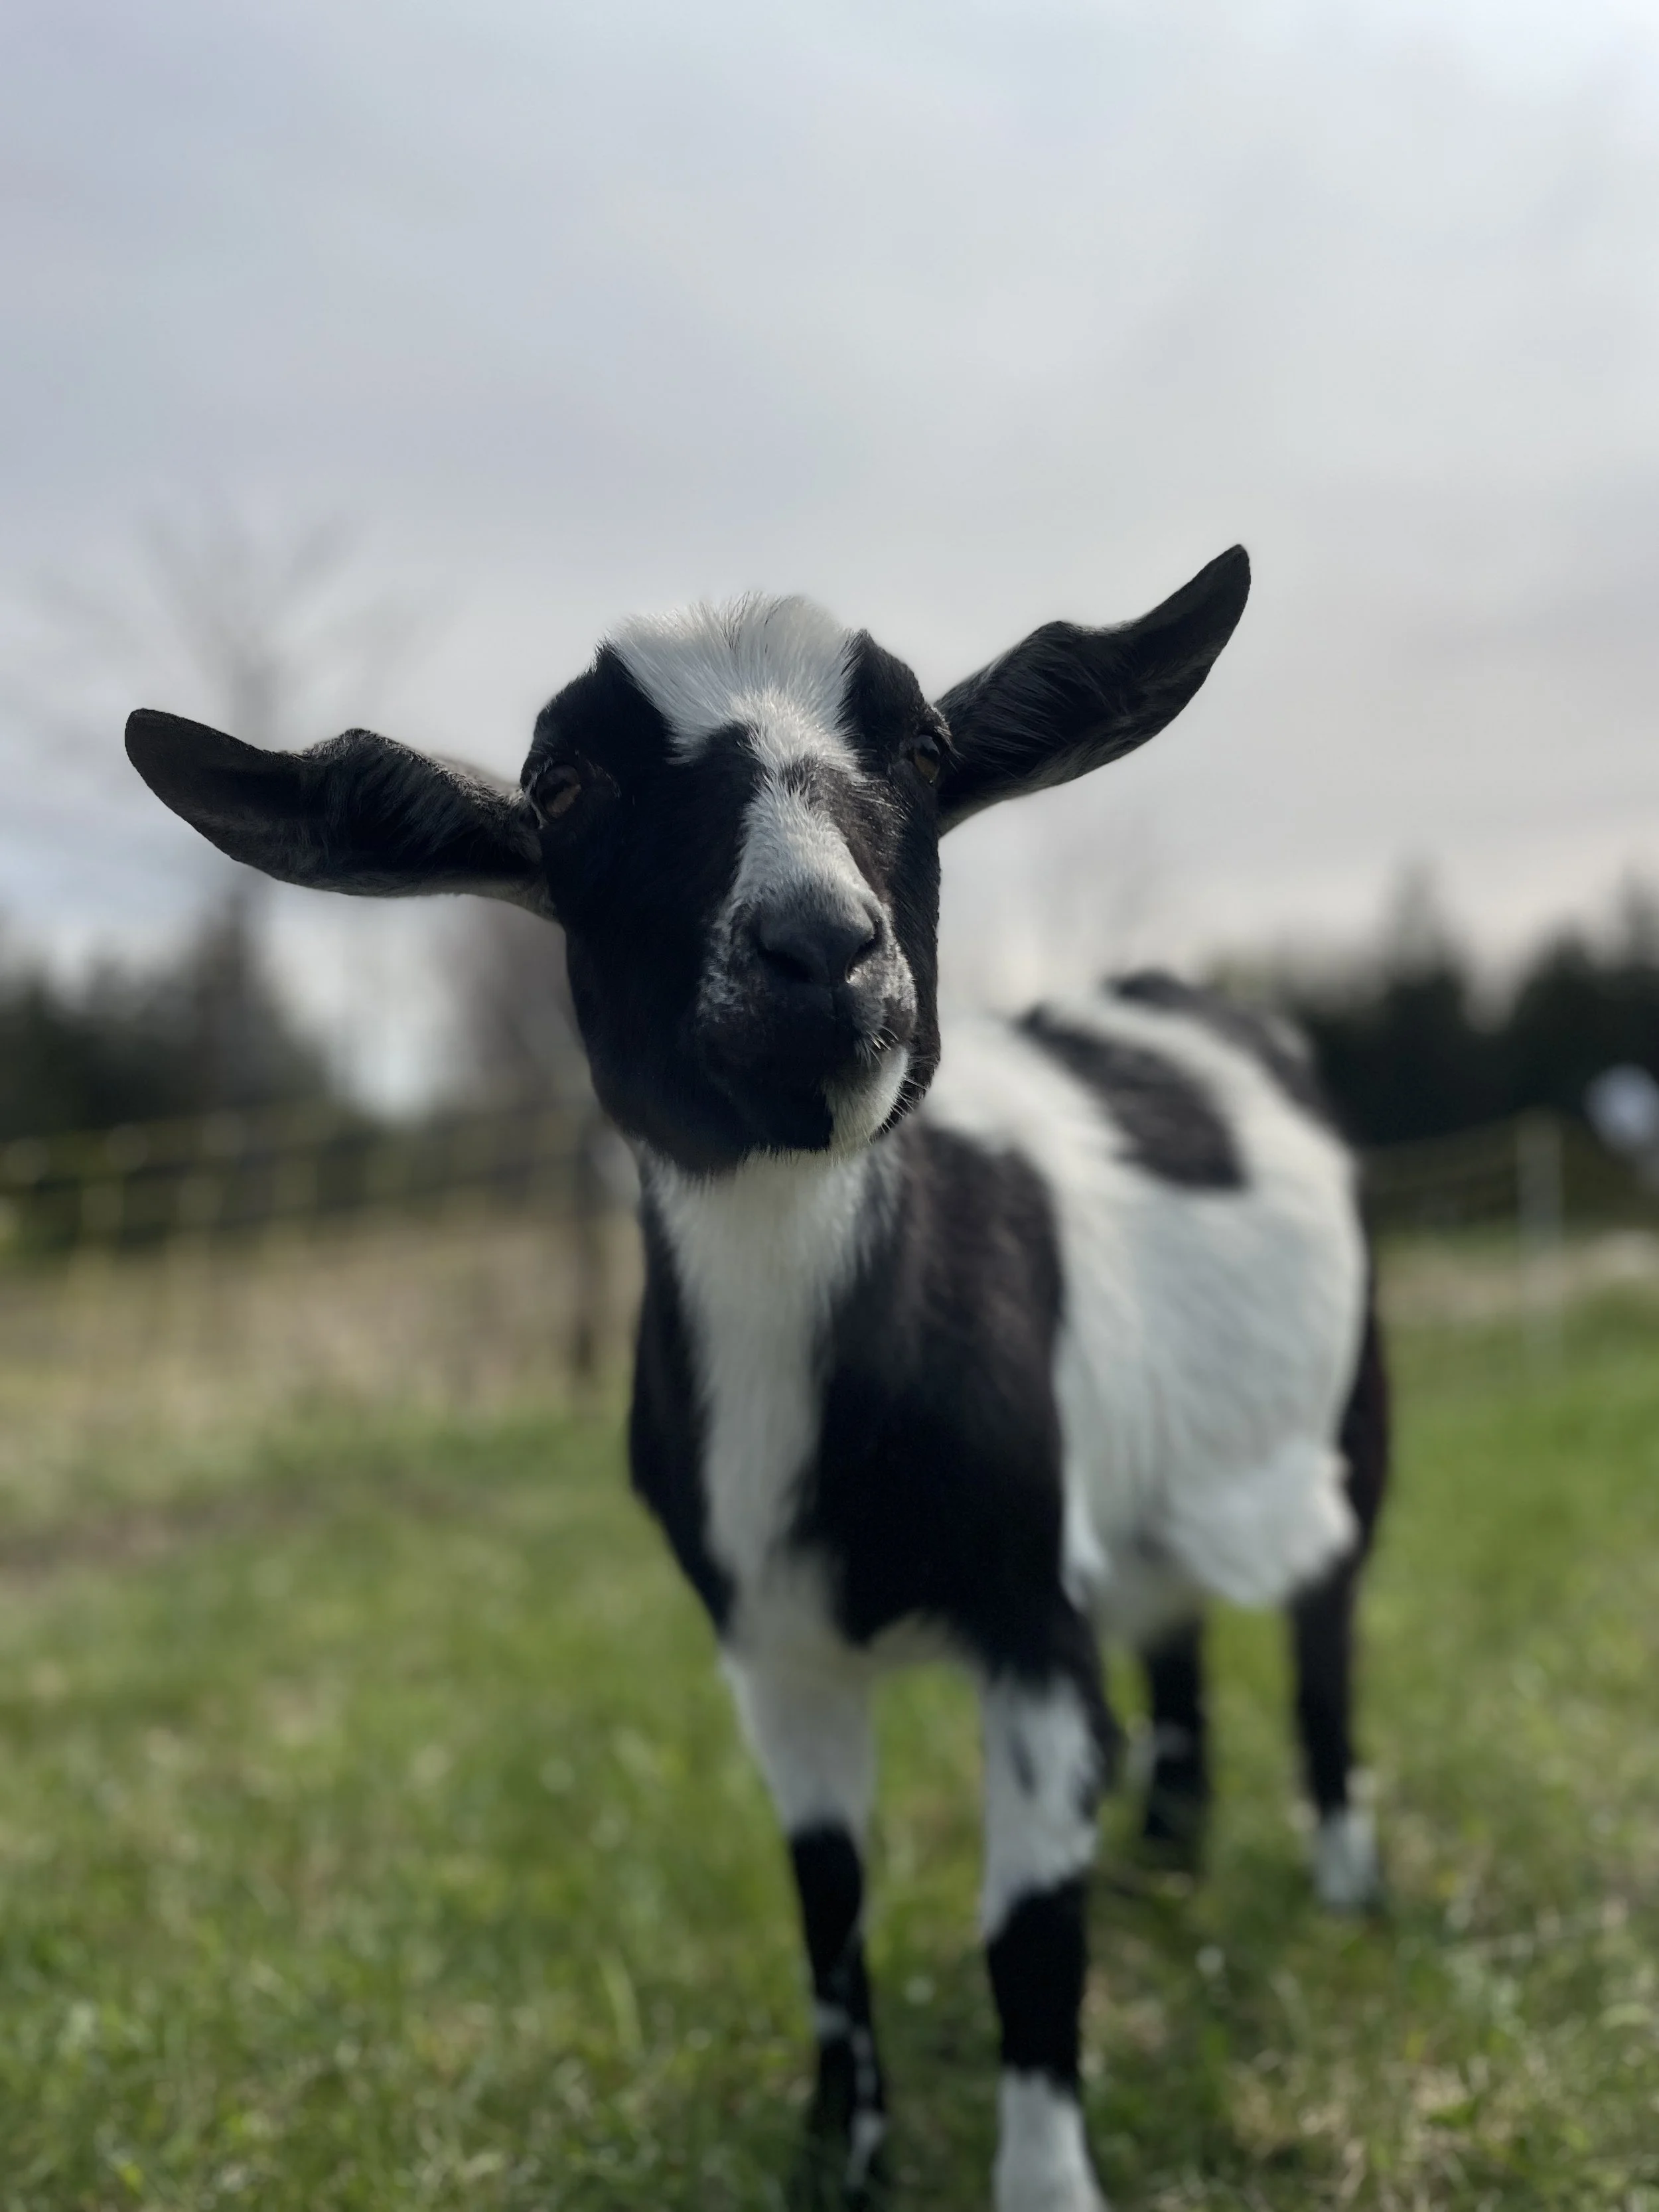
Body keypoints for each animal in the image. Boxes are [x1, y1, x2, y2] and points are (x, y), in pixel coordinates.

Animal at [127, 545, 1388, 2212]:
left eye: (921, 746)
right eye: (564, 780)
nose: (819, 949)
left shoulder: (1026, 1617)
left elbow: (1024, 1935)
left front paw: (1044, 2178)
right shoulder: (772, 1647)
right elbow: (827, 1904)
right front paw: (835, 2161)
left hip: (1350, 1424)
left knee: (1323, 1628)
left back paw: (1344, 1884)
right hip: (1143, 1502)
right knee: (1177, 1643)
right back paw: (1169, 1869)